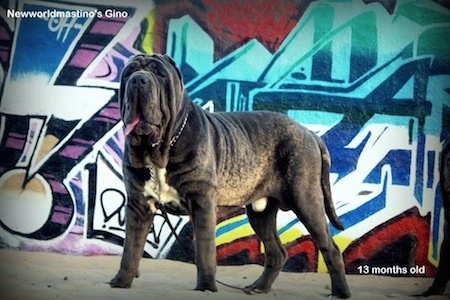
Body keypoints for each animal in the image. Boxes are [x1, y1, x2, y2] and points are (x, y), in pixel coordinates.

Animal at [110, 53, 352, 298]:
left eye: (159, 74)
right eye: (129, 73)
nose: (139, 80)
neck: (159, 151)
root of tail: (310, 132)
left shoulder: (202, 202)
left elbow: (205, 250)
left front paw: (206, 287)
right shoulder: (139, 205)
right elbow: (130, 249)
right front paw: (120, 282)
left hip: (305, 200)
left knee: (330, 248)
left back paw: (341, 292)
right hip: (261, 213)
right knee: (277, 252)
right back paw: (259, 287)